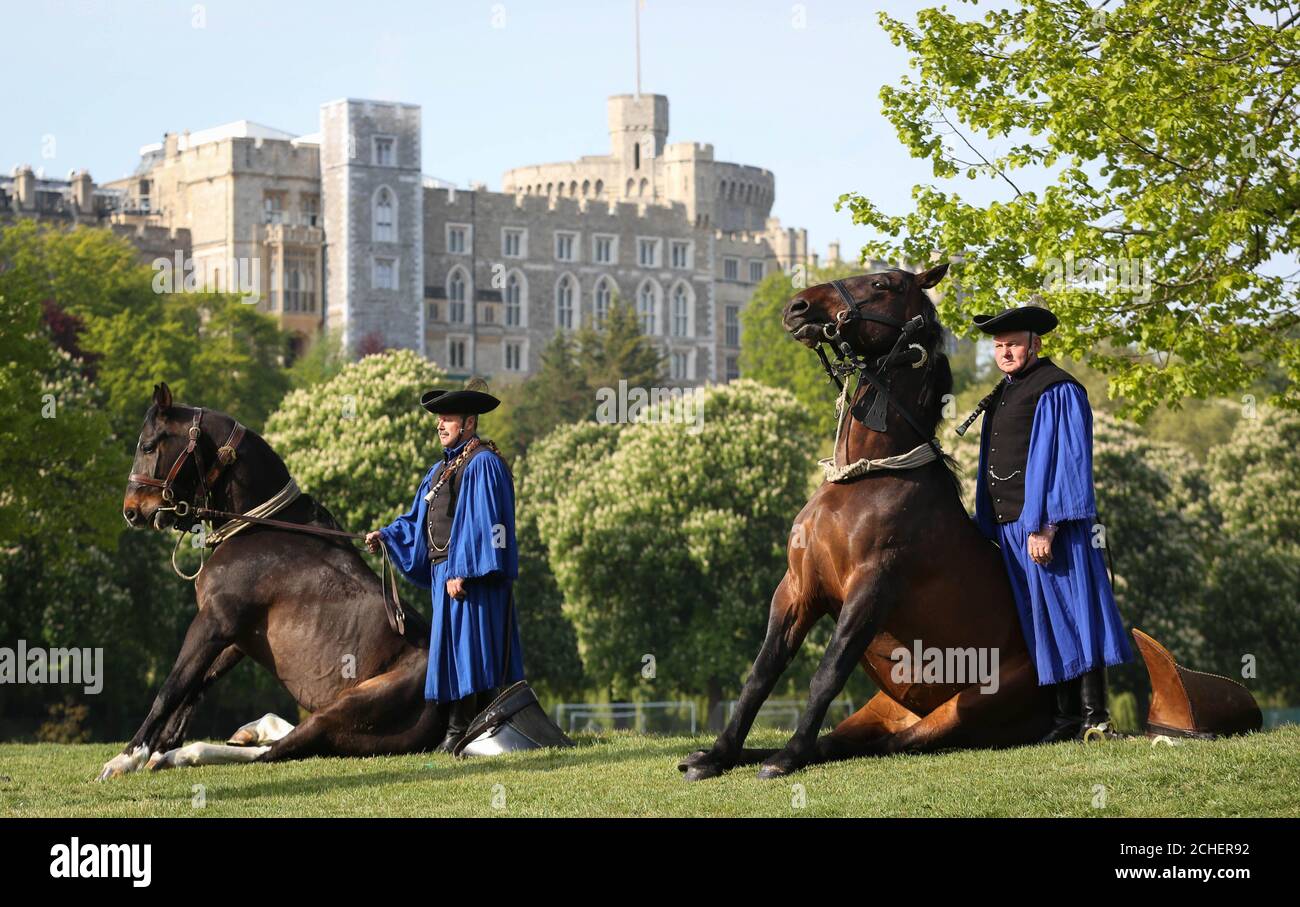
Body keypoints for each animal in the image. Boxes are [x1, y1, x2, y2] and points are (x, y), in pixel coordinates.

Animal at [98, 382, 449, 779]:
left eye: (147, 446)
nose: (131, 511)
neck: (257, 528)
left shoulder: (214, 622)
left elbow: (171, 689)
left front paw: (129, 756)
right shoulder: (236, 637)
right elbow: (196, 685)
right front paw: (162, 743)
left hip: (344, 709)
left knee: (276, 750)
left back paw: (187, 753)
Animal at [681, 261, 1055, 779]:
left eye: (882, 285)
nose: (796, 306)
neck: (865, 480)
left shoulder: (872, 588)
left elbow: (827, 673)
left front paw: (787, 757)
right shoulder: (797, 588)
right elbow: (762, 672)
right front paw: (718, 753)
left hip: (962, 711)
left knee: (891, 744)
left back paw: (792, 754)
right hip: (882, 707)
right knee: (844, 741)